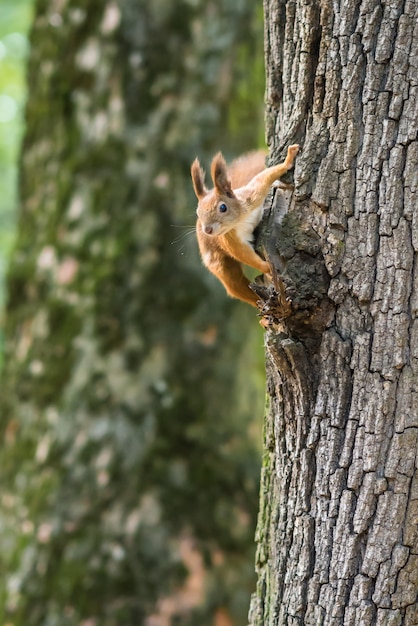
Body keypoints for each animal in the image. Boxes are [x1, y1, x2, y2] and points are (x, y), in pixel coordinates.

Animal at [191, 142, 298, 308]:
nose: (207, 230)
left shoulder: (253, 195)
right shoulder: (229, 239)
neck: (240, 219)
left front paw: (288, 159)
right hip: (216, 260)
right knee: (234, 283)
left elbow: (264, 177)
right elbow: (243, 254)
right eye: (198, 212)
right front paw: (266, 267)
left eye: (223, 207)